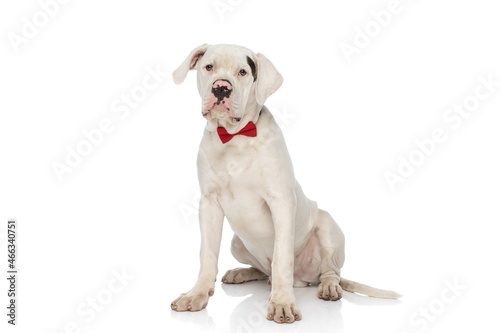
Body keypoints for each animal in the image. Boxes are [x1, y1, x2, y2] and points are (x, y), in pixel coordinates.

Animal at [170, 43, 400, 322]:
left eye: (243, 72)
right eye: (209, 67)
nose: (221, 87)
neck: (234, 137)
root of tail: (303, 279)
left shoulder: (280, 201)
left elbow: (282, 258)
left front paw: (282, 303)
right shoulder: (209, 204)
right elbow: (207, 255)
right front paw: (197, 294)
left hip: (326, 224)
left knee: (329, 271)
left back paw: (328, 287)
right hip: (237, 243)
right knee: (264, 271)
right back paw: (241, 273)